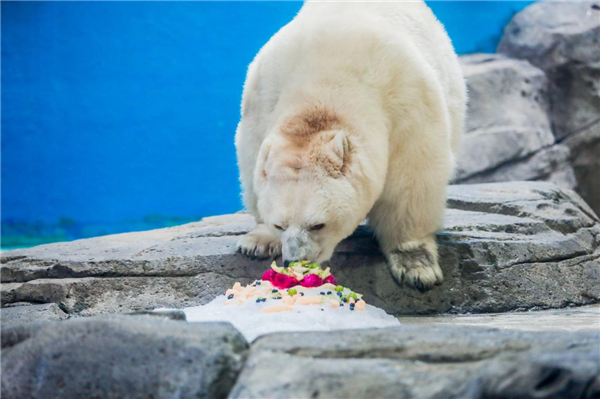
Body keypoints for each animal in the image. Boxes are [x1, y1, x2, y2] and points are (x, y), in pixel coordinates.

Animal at [233, 1, 464, 292]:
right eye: (280, 224)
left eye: (318, 225)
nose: (295, 259)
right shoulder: (264, 94)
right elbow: (252, 155)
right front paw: (258, 241)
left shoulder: (406, 99)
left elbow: (412, 174)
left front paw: (415, 265)